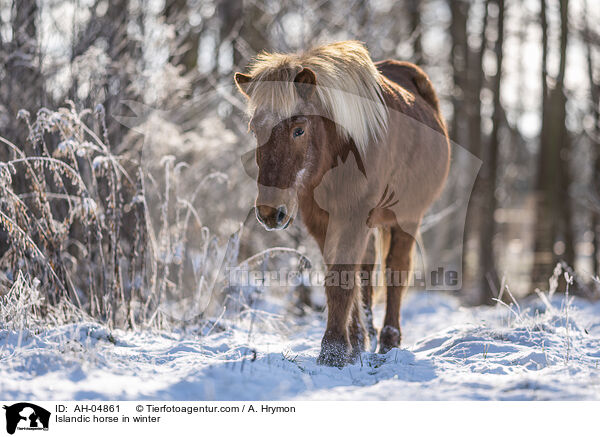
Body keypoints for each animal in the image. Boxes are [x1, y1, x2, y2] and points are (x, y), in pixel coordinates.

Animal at [234, 41, 450, 366]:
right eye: (254, 129)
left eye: (299, 129)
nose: (270, 212)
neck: (343, 153)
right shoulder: (323, 222)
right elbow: (343, 277)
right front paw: (349, 346)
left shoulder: (353, 217)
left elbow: (342, 280)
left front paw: (332, 351)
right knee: (367, 272)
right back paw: (364, 339)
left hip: (408, 217)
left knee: (395, 271)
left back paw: (389, 341)